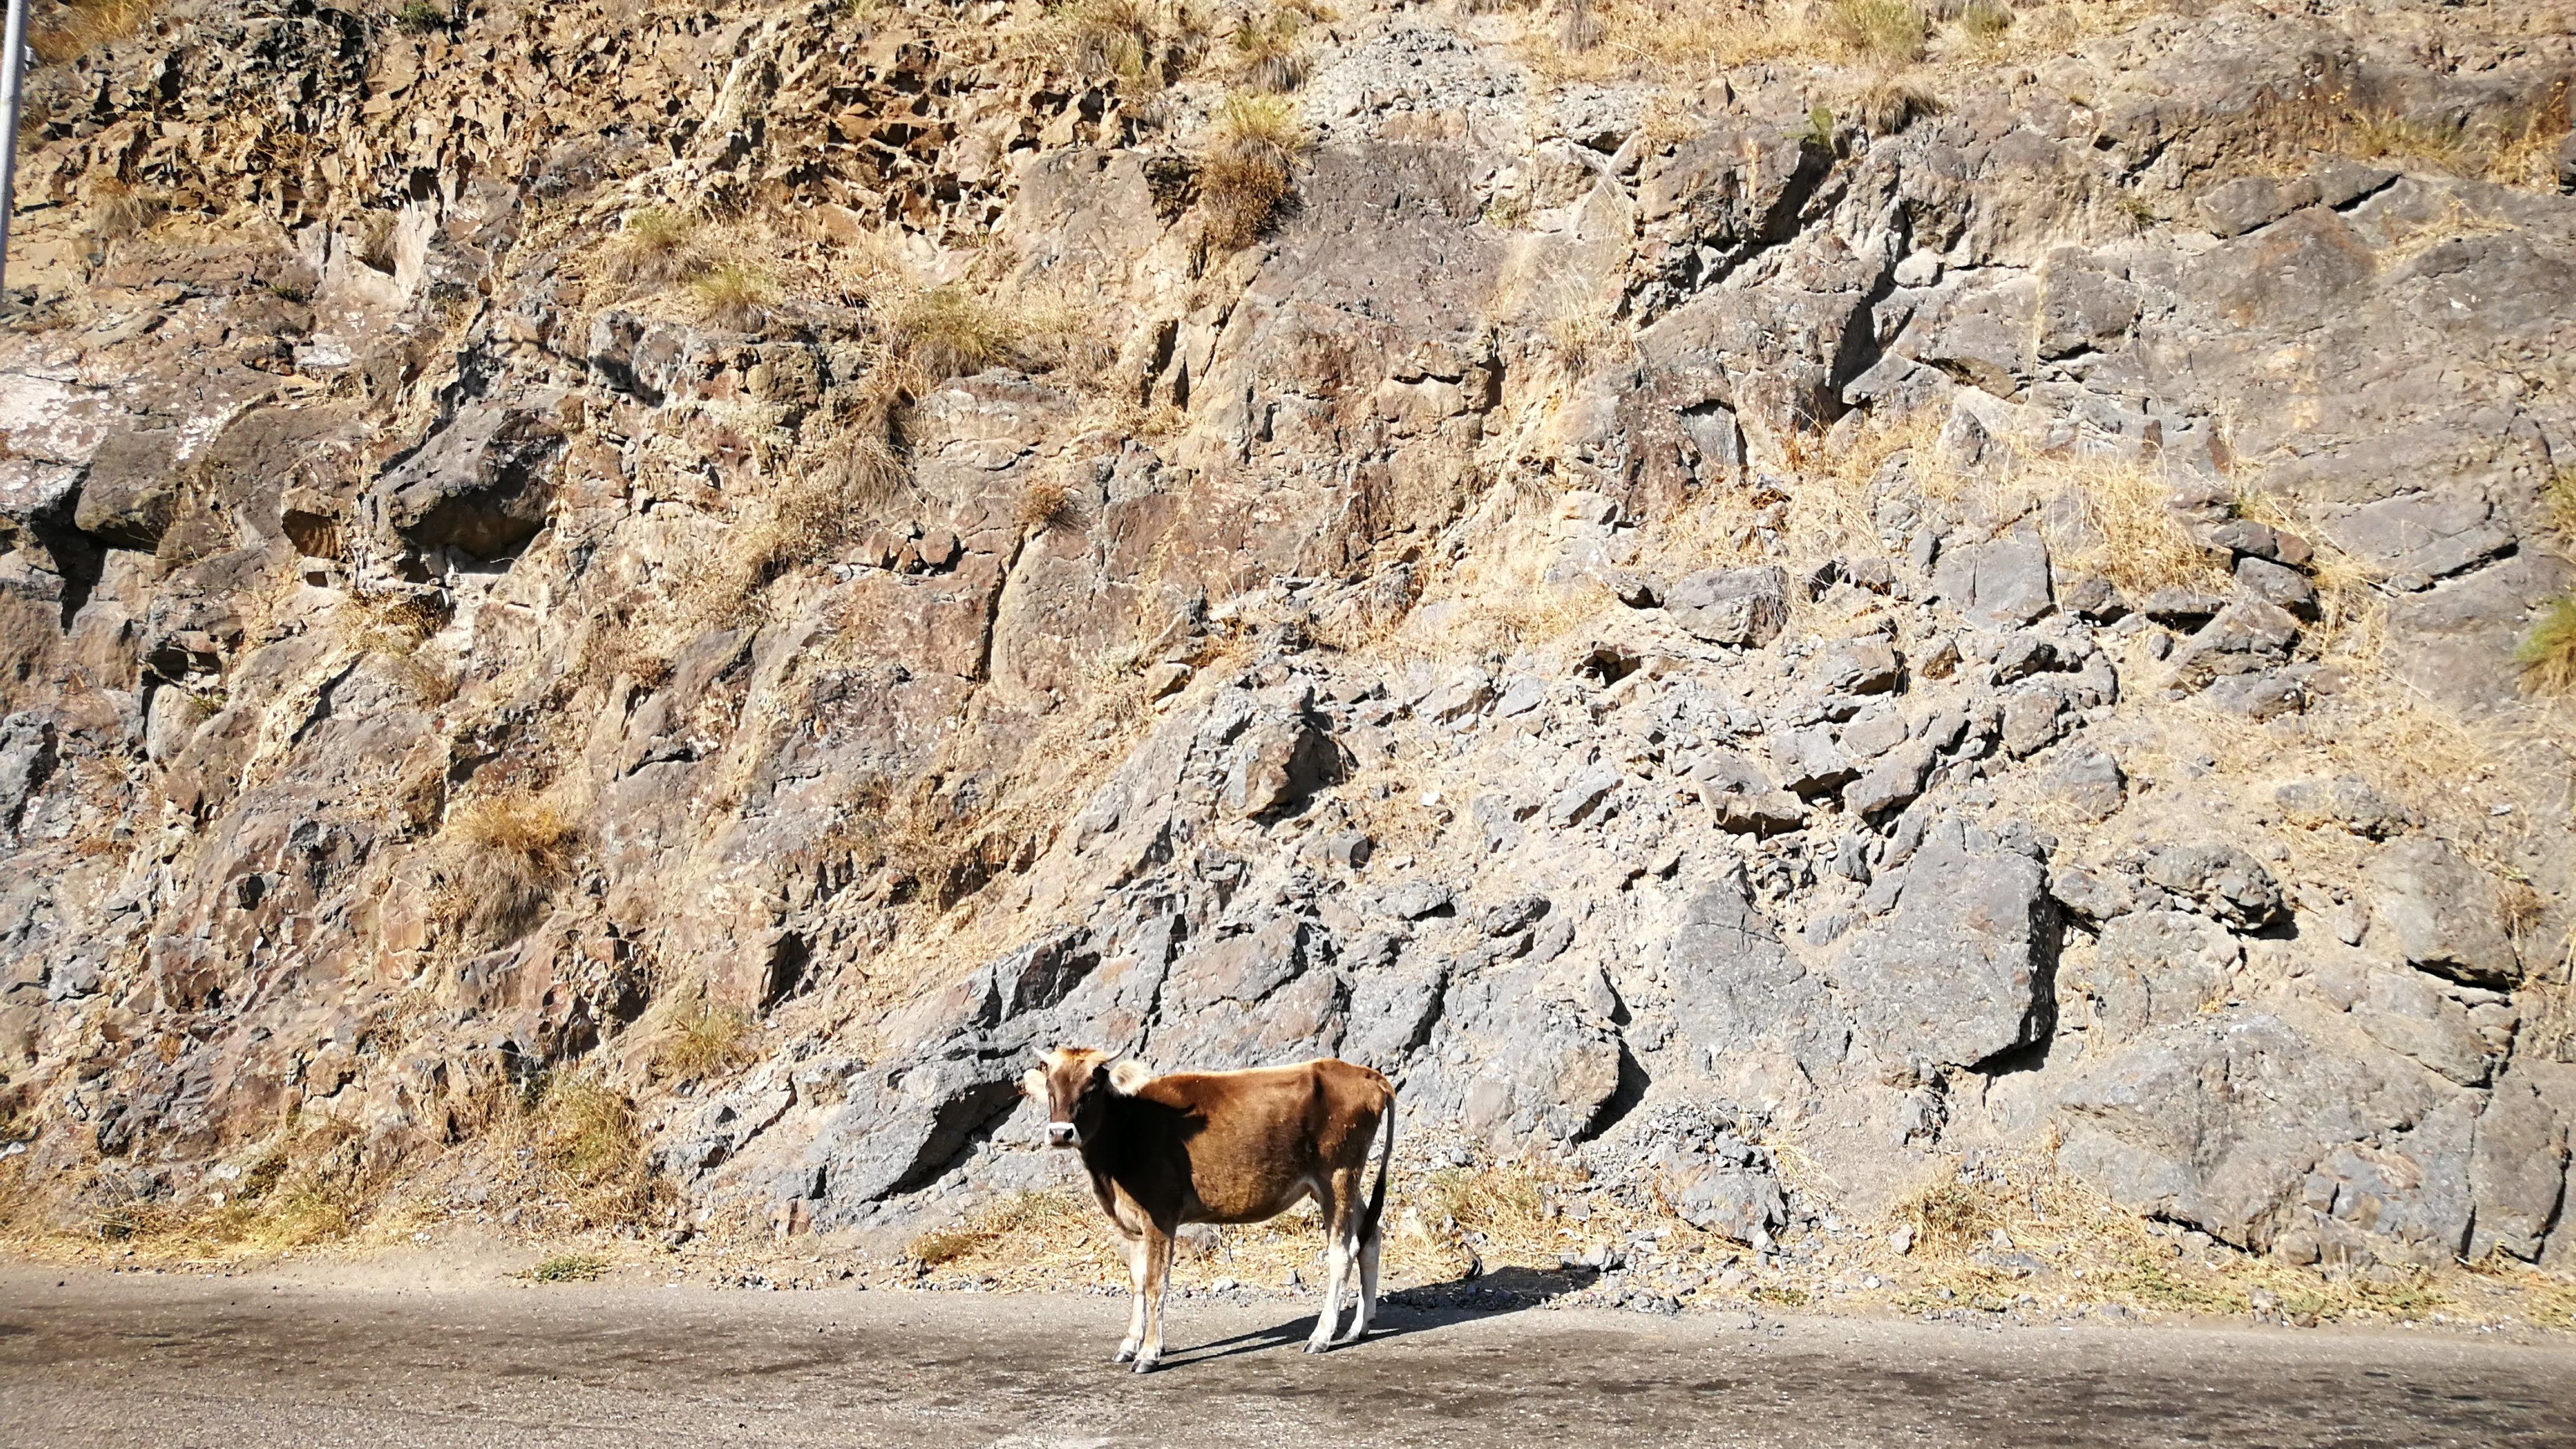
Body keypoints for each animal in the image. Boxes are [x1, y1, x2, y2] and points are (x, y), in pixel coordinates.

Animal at [1015, 1047, 1401, 1361]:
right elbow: (1138, 1283)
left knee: (1343, 1251)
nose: (1061, 1133)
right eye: (1050, 1088)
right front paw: (1129, 1345)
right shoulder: (1132, 1226)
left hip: (1337, 1175)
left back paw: (1321, 1336)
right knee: (1371, 1235)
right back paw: (1358, 1328)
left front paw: (1150, 1353)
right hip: (1339, 1183)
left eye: (1091, 1088)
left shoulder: (1161, 1217)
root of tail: (1367, 1075)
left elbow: (1157, 1284)